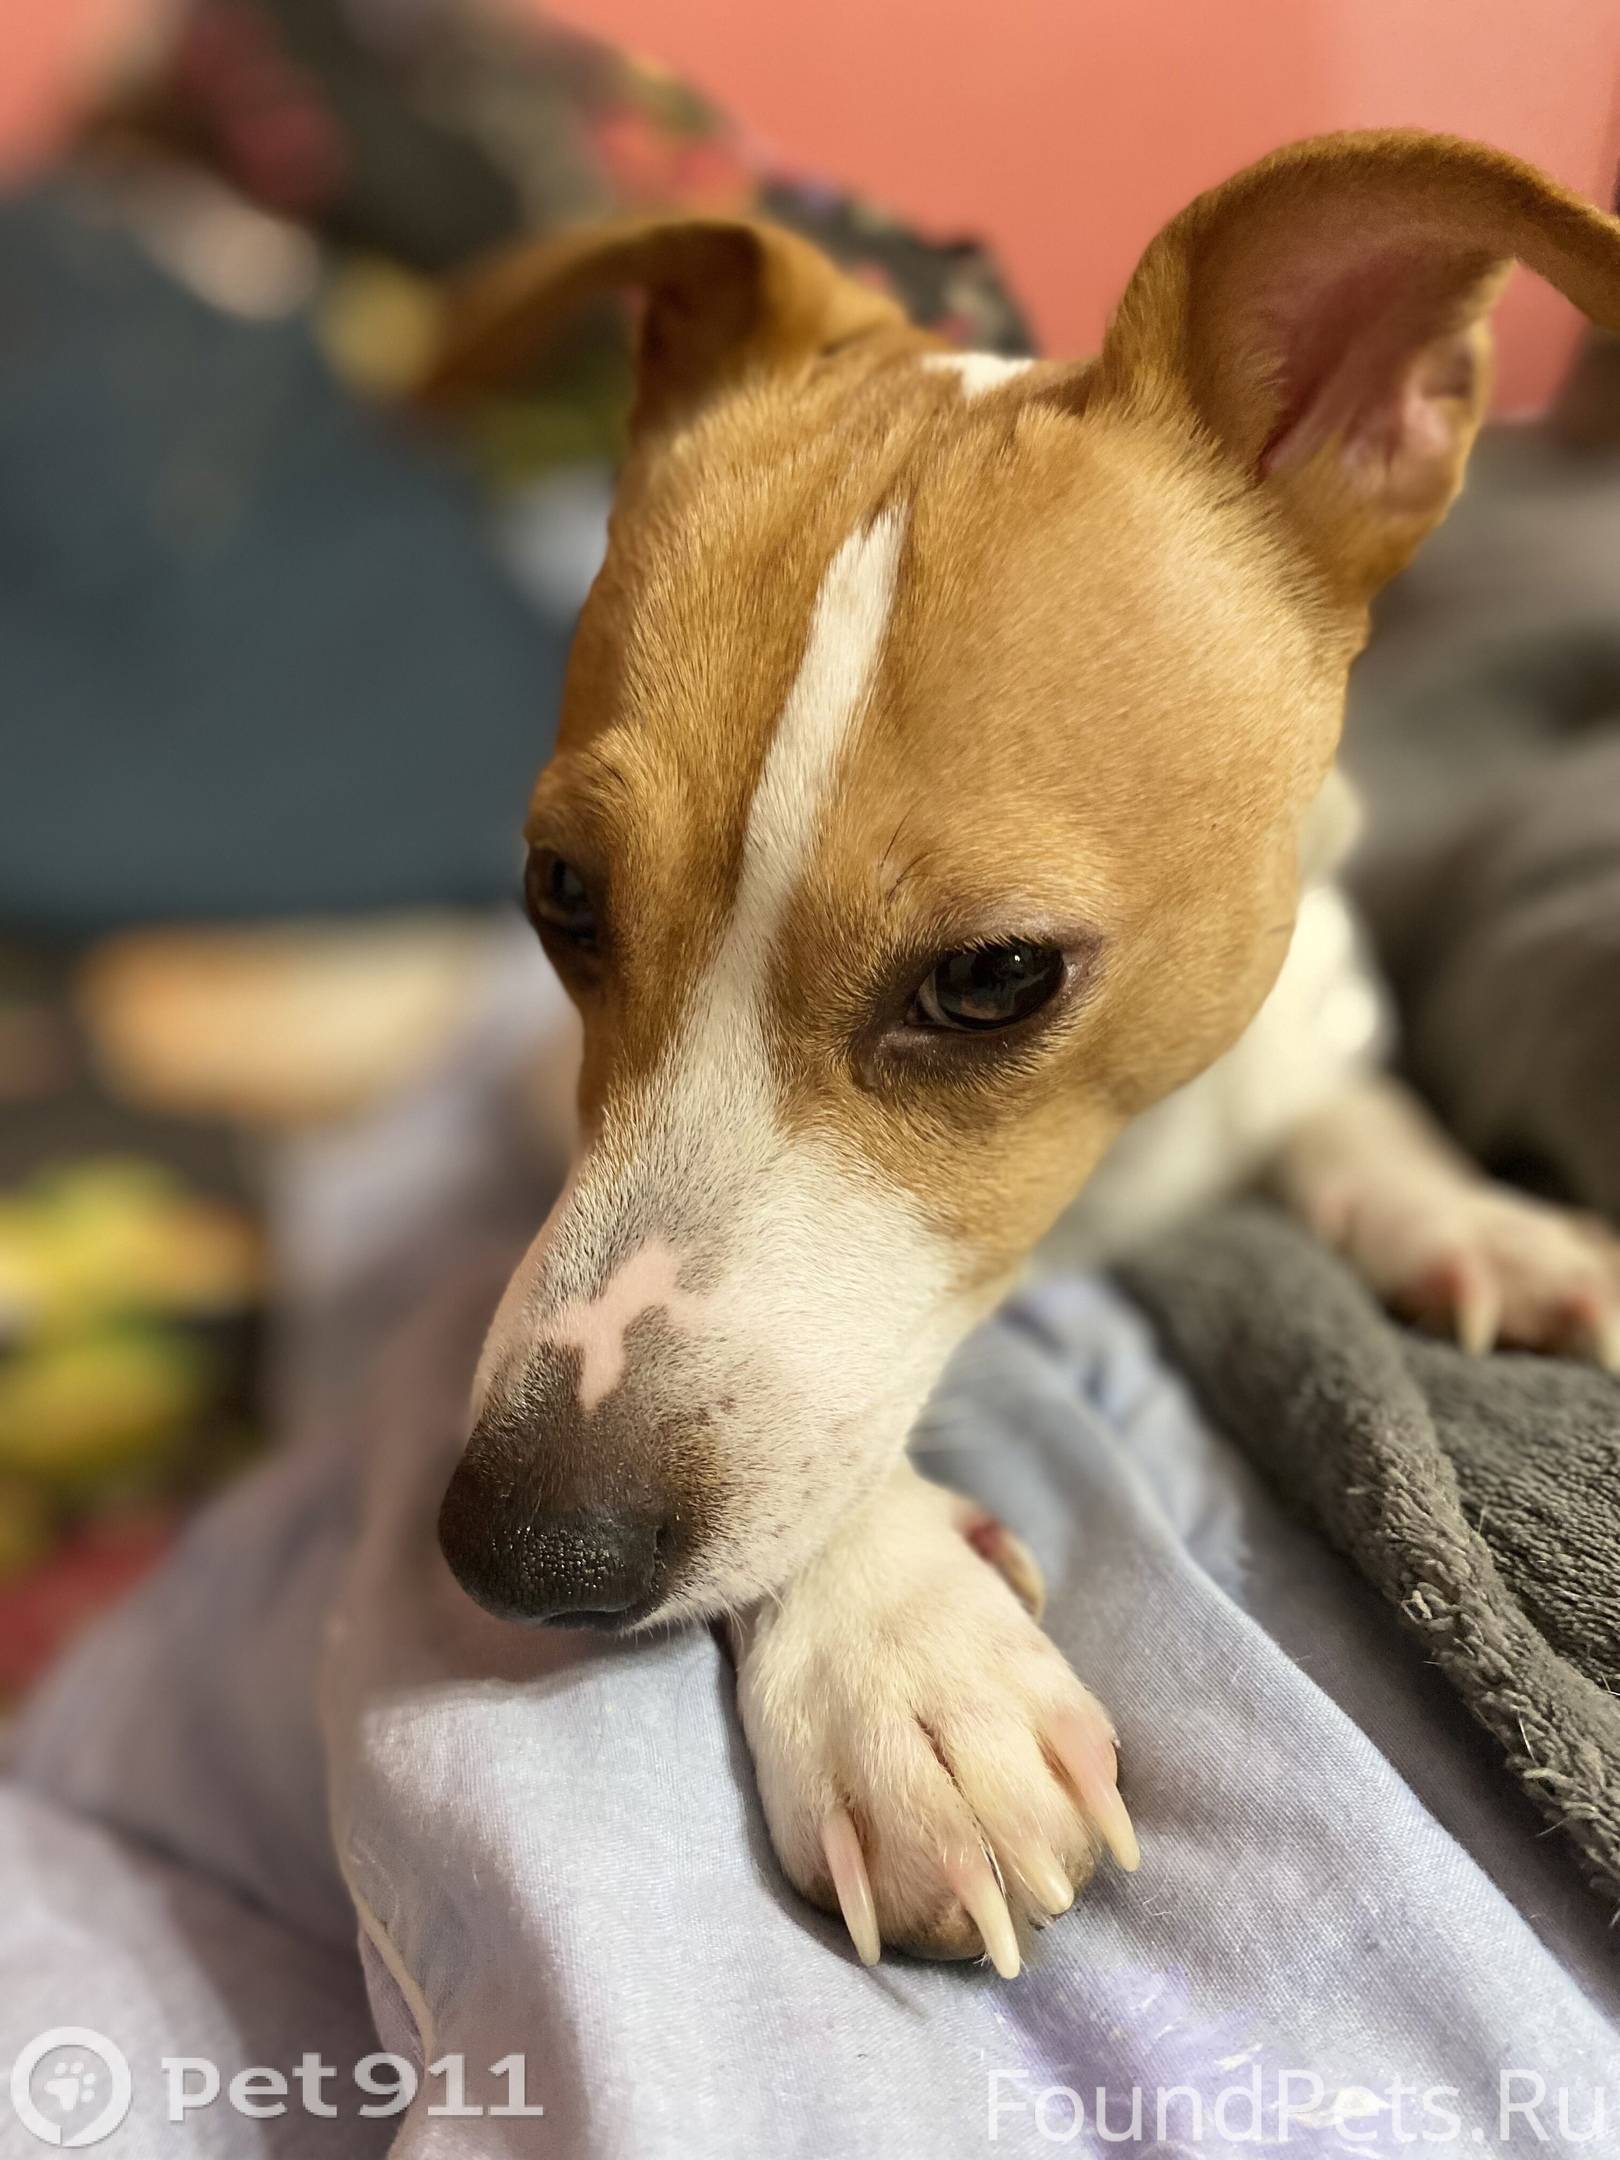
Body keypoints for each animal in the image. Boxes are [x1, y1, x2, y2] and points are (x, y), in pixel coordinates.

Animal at [426, 132, 1620, 1975]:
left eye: (993, 979)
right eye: (560, 892)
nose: (519, 1551)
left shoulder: (1310, 989)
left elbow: (1341, 1102)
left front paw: (1473, 1219)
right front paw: (902, 1656)